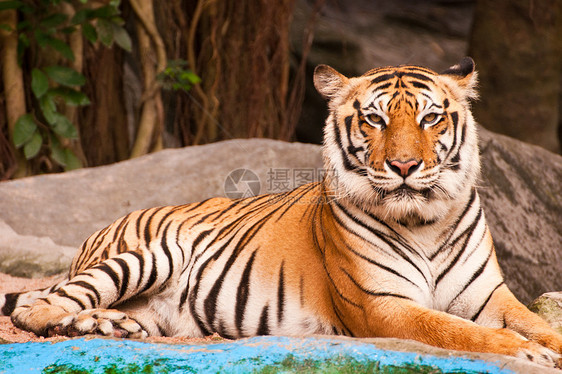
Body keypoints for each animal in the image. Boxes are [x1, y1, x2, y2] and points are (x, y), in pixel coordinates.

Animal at [1, 58, 560, 368]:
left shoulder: (490, 297)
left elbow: (533, 321)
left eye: (430, 118)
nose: (404, 166)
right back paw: (88, 322)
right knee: (39, 304)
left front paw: (542, 342)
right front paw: (527, 353)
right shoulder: (383, 305)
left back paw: (115, 327)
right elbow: (457, 331)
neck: (426, 222)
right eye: (375, 120)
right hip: (147, 256)